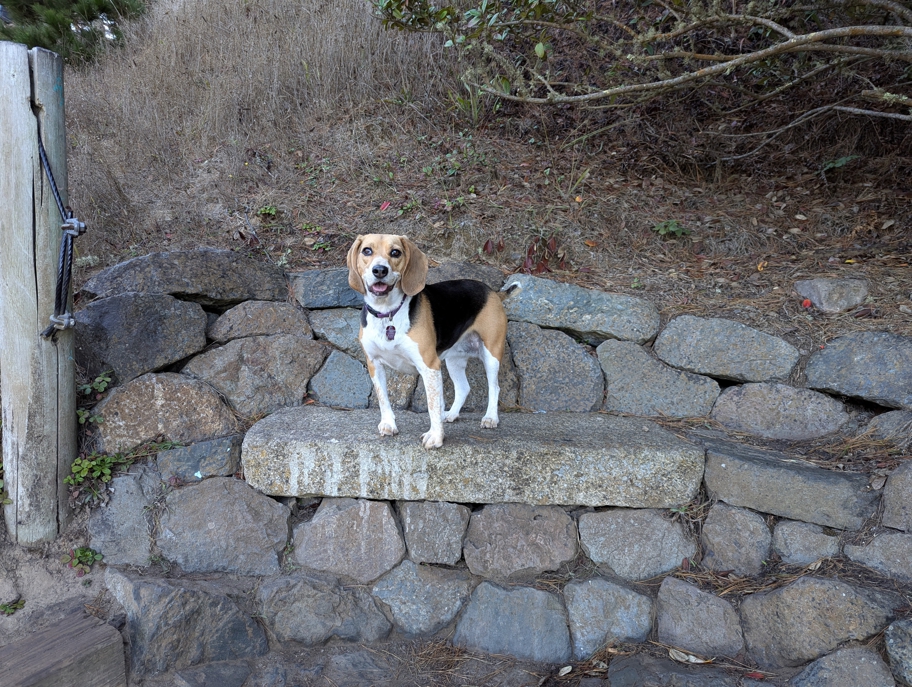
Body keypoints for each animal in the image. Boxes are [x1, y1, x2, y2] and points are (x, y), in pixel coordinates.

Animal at [348, 235, 520, 452]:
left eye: (395, 252)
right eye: (367, 251)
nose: (380, 270)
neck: (388, 313)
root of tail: (494, 292)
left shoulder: (429, 366)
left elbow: (432, 405)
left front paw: (436, 437)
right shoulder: (374, 364)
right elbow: (383, 398)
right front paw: (388, 424)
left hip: (491, 354)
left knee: (494, 387)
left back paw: (490, 417)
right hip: (454, 360)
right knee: (463, 388)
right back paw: (451, 414)